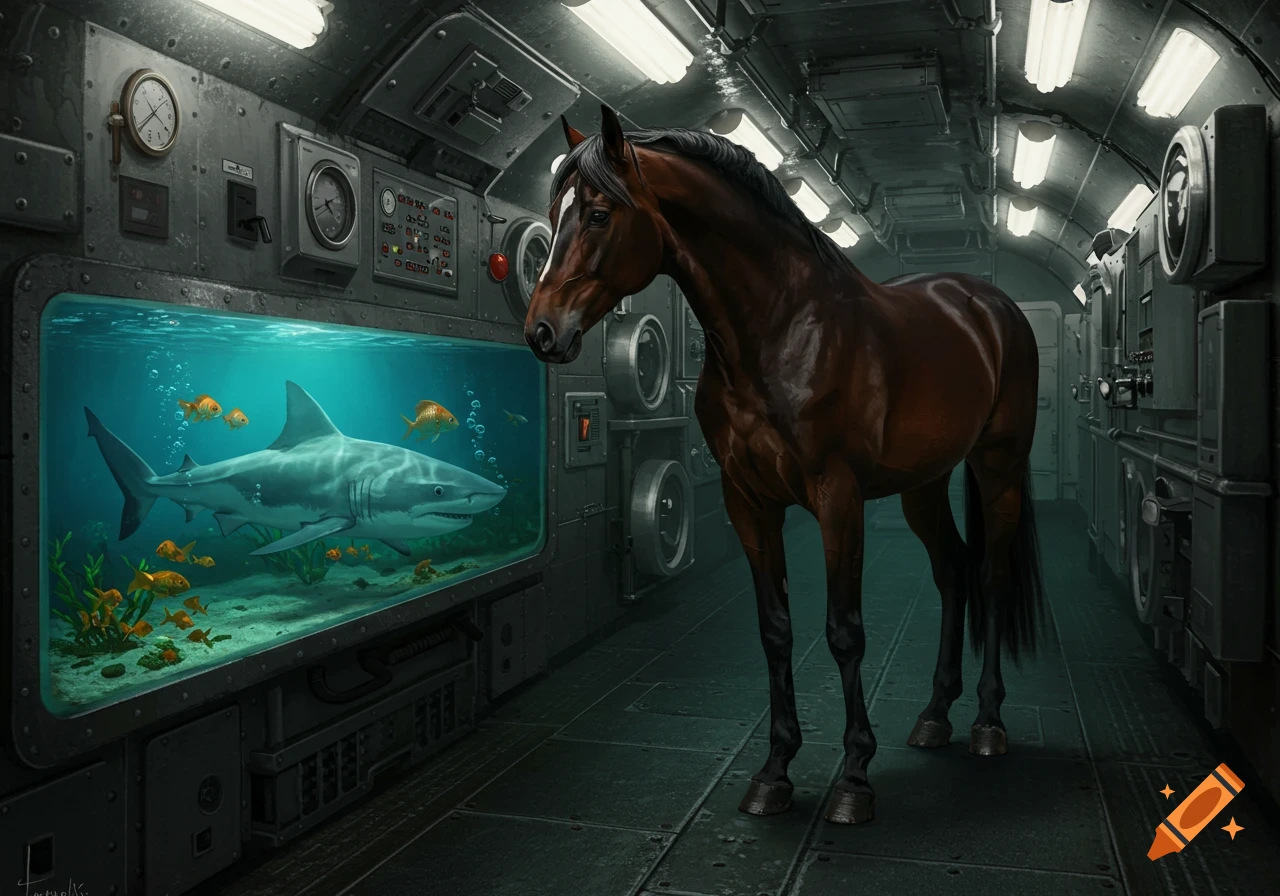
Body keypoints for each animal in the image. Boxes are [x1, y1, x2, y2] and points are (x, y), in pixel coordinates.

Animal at [522, 104, 1046, 825]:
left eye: (599, 214)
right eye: (555, 211)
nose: (542, 330)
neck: (779, 330)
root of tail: (987, 304)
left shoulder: (838, 497)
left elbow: (844, 631)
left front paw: (853, 777)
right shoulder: (748, 501)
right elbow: (775, 629)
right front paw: (775, 772)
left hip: (997, 467)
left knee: (991, 578)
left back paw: (989, 725)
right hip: (925, 485)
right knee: (953, 572)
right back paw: (935, 715)